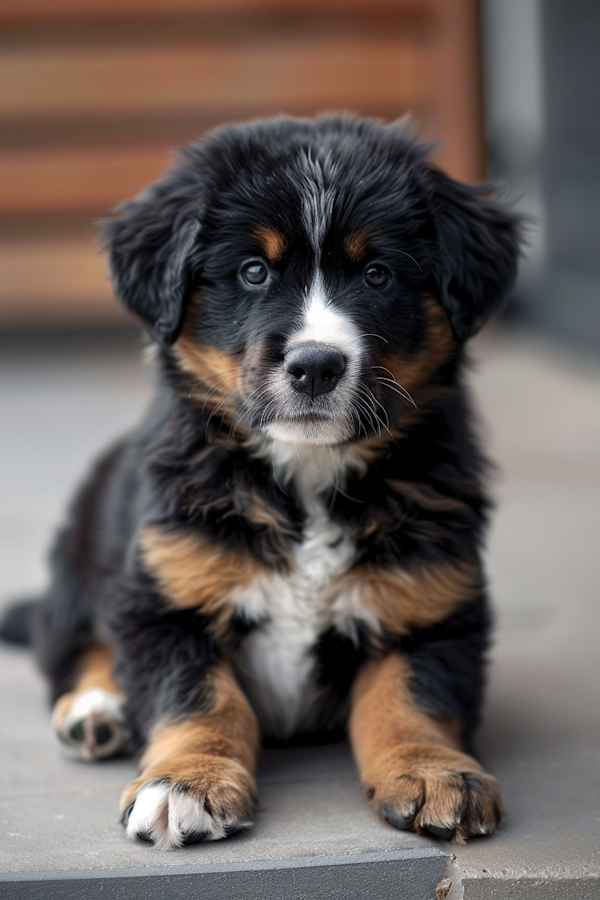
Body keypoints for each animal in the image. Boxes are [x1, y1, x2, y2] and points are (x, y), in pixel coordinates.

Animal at [12, 116, 520, 848]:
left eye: (378, 273)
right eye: (253, 271)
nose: (316, 366)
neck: (307, 475)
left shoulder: (431, 602)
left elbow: (411, 696)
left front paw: (433, 772)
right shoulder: (166, 596)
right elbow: (200, 699)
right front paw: (186, 782)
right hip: (83, 562)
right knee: (76, 647)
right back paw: (96, 708)